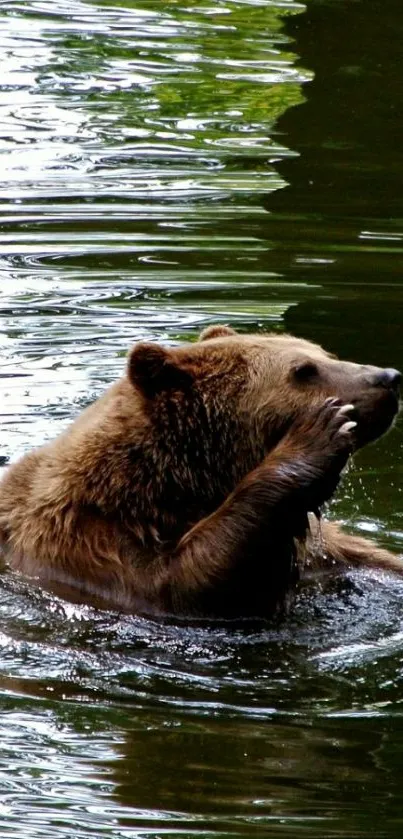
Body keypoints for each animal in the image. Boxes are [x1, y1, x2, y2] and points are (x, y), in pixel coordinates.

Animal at [0, 324, 400, 620]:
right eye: (303, 371)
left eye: (324, 354)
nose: (389, 377)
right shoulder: (92, 543)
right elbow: (187, 583)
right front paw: (320, 435)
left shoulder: (326, 553)